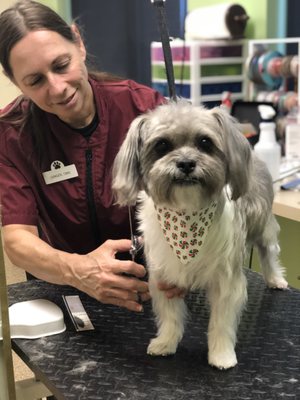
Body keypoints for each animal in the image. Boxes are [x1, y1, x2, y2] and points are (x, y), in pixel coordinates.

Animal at [112, 99, 288, 368]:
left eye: (205, 142)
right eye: (162, 145)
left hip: (264, 224)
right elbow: (170, 317)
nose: (186, 163)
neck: (187, 216)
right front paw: (166, 342)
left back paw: (275, 278)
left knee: (269, 253)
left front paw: (222, 354)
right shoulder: (164, 275)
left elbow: (221, 323)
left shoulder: (226, 279)